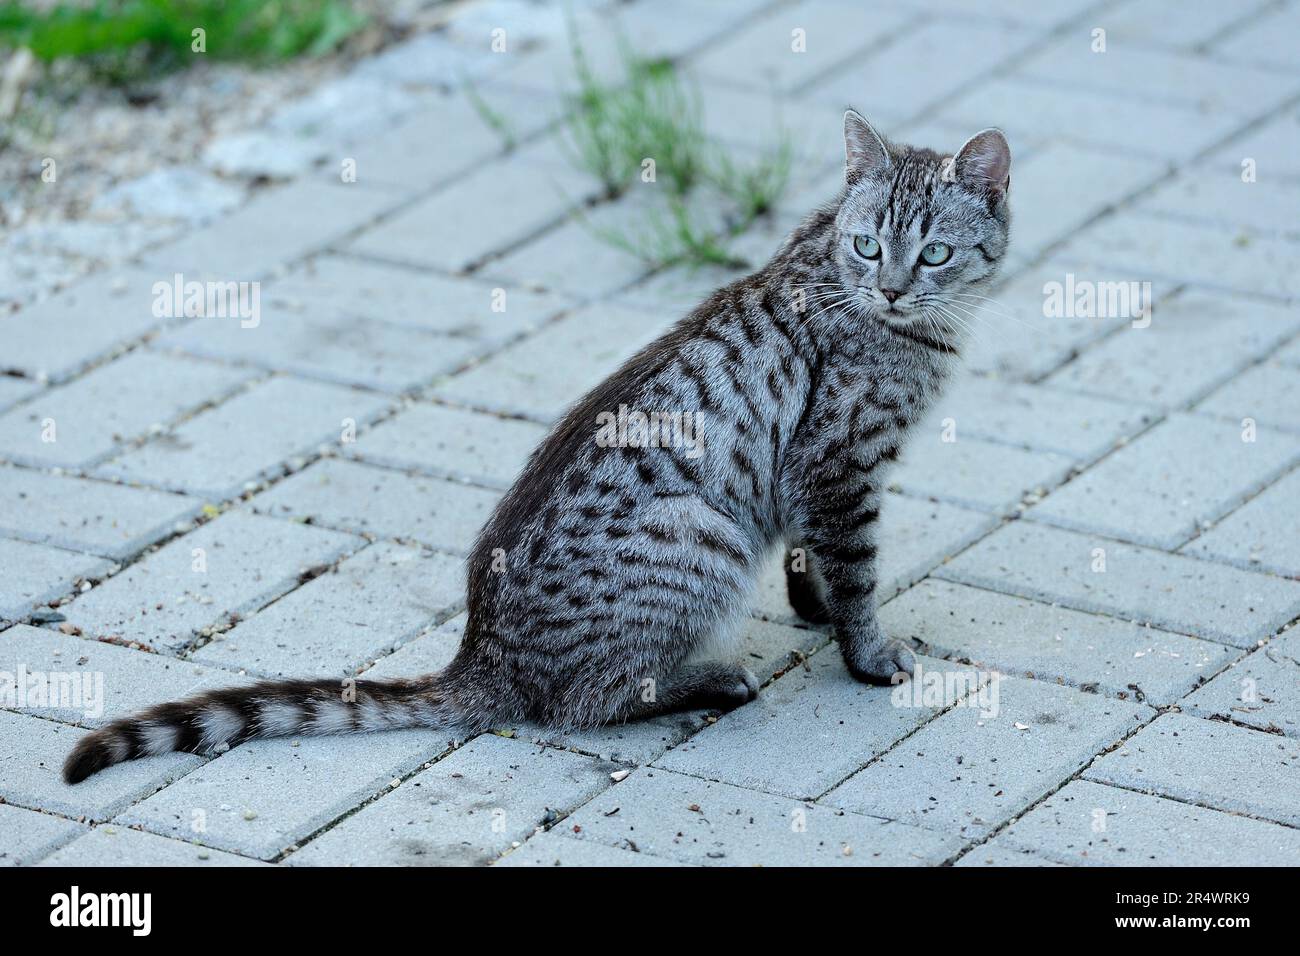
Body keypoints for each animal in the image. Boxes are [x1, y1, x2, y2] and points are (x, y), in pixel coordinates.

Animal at [65, 111, 1008, 785]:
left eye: (932, 252)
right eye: (869, 244)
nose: (892, 289)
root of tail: (482, 654)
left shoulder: (812, 480)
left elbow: (811, 559)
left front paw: (813, 612)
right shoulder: (839, 464)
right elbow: (853, 572)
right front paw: (868, 654)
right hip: (704, 537)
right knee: (583, 701)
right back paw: (710, 680)